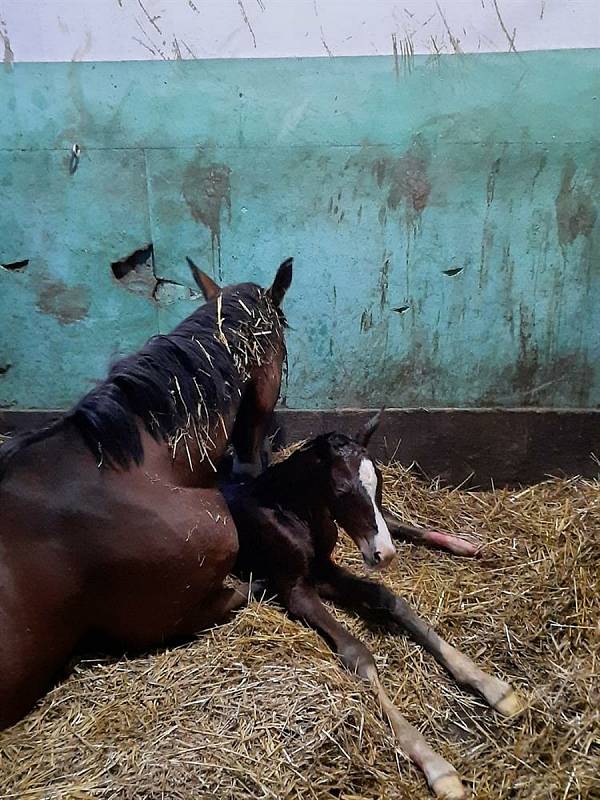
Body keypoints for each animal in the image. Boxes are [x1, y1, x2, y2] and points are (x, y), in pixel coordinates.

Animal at [225, 418, 520, 800]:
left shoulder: (323, 567)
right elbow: (357, 651)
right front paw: (436, 765)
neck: (290, 509)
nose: (385, 555)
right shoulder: (296, 587)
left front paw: (493, 686)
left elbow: (390, 598)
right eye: (341, 489)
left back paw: (464, 545)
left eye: (379, 483)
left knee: (394, 522)